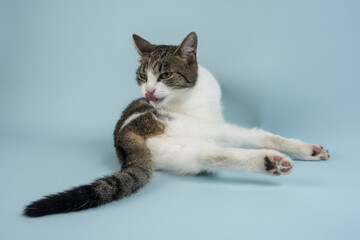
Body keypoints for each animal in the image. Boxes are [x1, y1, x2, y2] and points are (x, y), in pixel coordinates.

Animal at [23, 31, 330, 218]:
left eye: (164, 75)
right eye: (142, 76)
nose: (147, 92)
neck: (190, 93)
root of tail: (124, 135)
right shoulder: (215, 123)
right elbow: (260, 134)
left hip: (180, 154)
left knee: (212, 154)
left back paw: (273, 161)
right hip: (205, 132)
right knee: (250, 139)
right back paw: (278, 159)